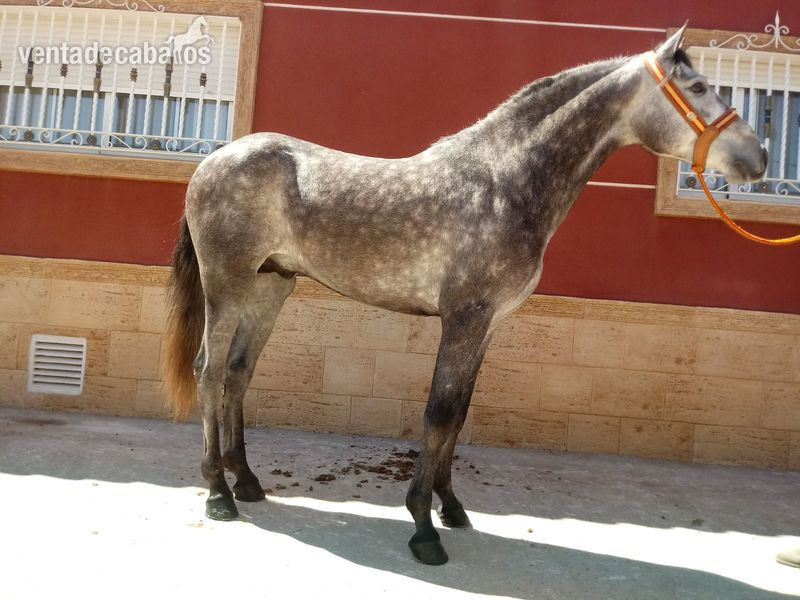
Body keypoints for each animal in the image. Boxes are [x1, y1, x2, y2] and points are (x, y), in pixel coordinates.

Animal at [163, 25, 766, 565]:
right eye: (697, 87)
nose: (758, 158)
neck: (504, 182)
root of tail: (214, 160)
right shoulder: (464, 318)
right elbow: (439, 411)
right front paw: (423, 527)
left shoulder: (488, 324)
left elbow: (459, 414)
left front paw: (451, 507)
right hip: (228, 283)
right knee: (209, 370)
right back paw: (218, 492)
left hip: (271, 285)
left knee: (239, 371)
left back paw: (247, 481)